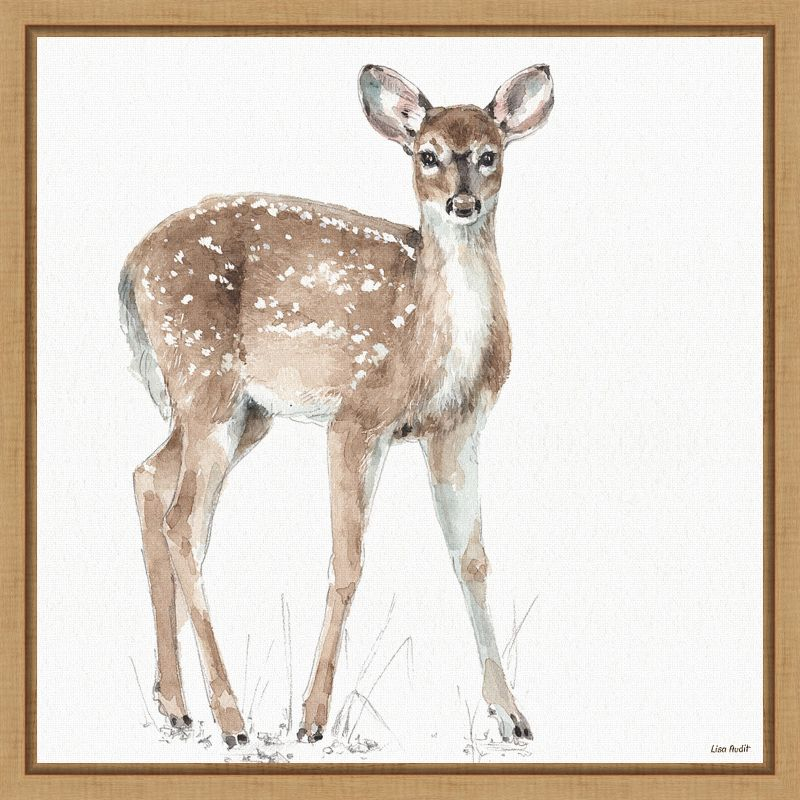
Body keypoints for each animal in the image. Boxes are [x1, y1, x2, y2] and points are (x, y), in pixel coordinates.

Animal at [119, 63, 554, 749]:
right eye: (427, 154)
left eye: (490, 154)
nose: (462, 204)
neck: (429, 337)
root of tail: (130, 268)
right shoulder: (356, 417)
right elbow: (348, 561)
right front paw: (312, 720)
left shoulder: (456, 429)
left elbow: (472, 559)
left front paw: (512, 715)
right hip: (204, 382)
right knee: (183, 521)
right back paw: (232, 719)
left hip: (240, 414)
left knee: (150, 481)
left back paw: (176, 706)